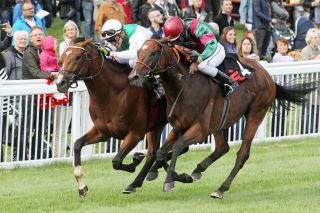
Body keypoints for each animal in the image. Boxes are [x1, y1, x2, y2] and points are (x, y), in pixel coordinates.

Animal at [56, 37, 168, 196]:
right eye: (63, 57)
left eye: (77, 57)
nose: (60, 83)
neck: (114, 94)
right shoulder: (103, 132)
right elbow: (77, 144)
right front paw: (82, 186)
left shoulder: (135, 133)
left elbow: (116, 161)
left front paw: (135, 161)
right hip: (157, 125)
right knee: (155, 153)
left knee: (156, 152)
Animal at [127, 38, 318, 200]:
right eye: (138, 52)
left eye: (153, 53)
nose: (133, 77)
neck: (184, 86)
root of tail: (268, 76)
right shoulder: (179, 126)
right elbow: (161, 152)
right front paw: (171, 175)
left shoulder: (200, 129)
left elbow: (178, 146)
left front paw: (170, 180)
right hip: (222, 120)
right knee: (222, 147)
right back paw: (198, 170)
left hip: (256, 114)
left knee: (242, 154)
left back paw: (221, 189)